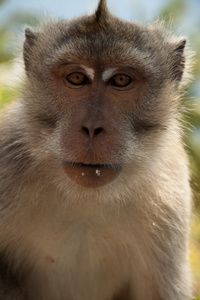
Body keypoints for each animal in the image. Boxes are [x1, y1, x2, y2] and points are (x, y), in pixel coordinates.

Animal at [0, 0, 194, 298]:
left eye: (121, 80)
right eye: (77, 77)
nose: (92, 127)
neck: (86, 198)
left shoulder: (170, 197)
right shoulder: (7, 158)